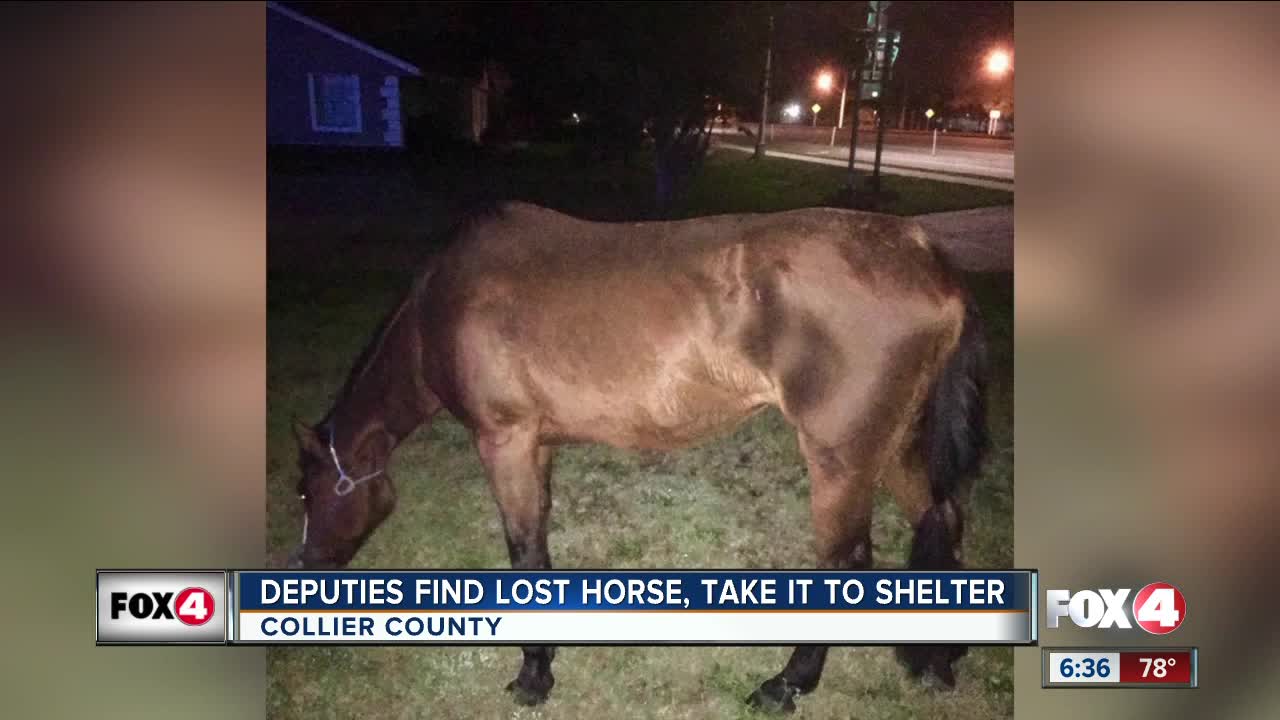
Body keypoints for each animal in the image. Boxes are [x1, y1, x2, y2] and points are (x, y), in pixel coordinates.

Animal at [288, 198, 988, 707]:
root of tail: (927, 257)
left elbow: (522, 551)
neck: (441, 308)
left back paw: (786, 684)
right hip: (895, 444)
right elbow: (540, 548)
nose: (306, 570)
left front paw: (533, 678)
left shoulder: (504, 440)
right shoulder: (537, 445)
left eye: (306, 492)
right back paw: (940, 659)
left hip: (841, 457)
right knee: (945, 519)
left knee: (848, 562)